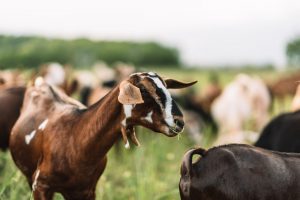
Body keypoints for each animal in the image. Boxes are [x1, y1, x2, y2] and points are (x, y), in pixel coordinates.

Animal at [9, 72, 196, 199]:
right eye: (142, 89)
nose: (180, 121)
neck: (76, 138)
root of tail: (41, 83)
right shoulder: (40, 186)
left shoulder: (86, 191)